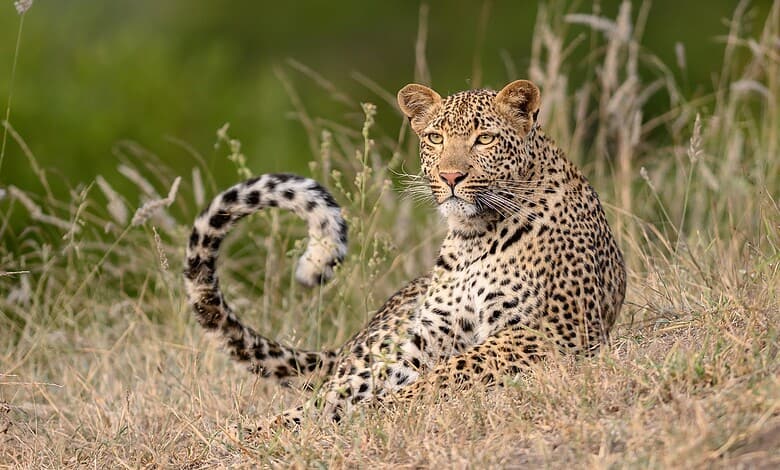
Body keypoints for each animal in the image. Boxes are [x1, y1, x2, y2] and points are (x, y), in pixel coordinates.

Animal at [183, 79, 626, 436]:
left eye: (484, 139)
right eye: (435, 138)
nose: (451, 176)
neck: (473, 236)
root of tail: (348, 341)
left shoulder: (549, 331)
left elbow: (453, 371)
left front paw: (386, 407)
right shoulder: (426, 337)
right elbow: (361, 390)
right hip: (376, 345)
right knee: (333, 387)